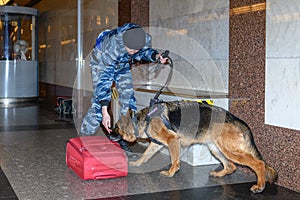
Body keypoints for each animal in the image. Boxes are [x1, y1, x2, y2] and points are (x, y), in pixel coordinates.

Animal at [113, 101, 278, 193]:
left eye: (116, 128)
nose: (109, 133)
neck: (144, 120)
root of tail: (236, 119)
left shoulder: (173, 140)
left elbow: (174, 160)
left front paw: (171, 172)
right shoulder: (155, 144)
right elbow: (145, 155)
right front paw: (137, 163)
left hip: (229, 150)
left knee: (259, 164)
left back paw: (260, 186)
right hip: (216, 149)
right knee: (231, 166)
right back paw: (218, 175)